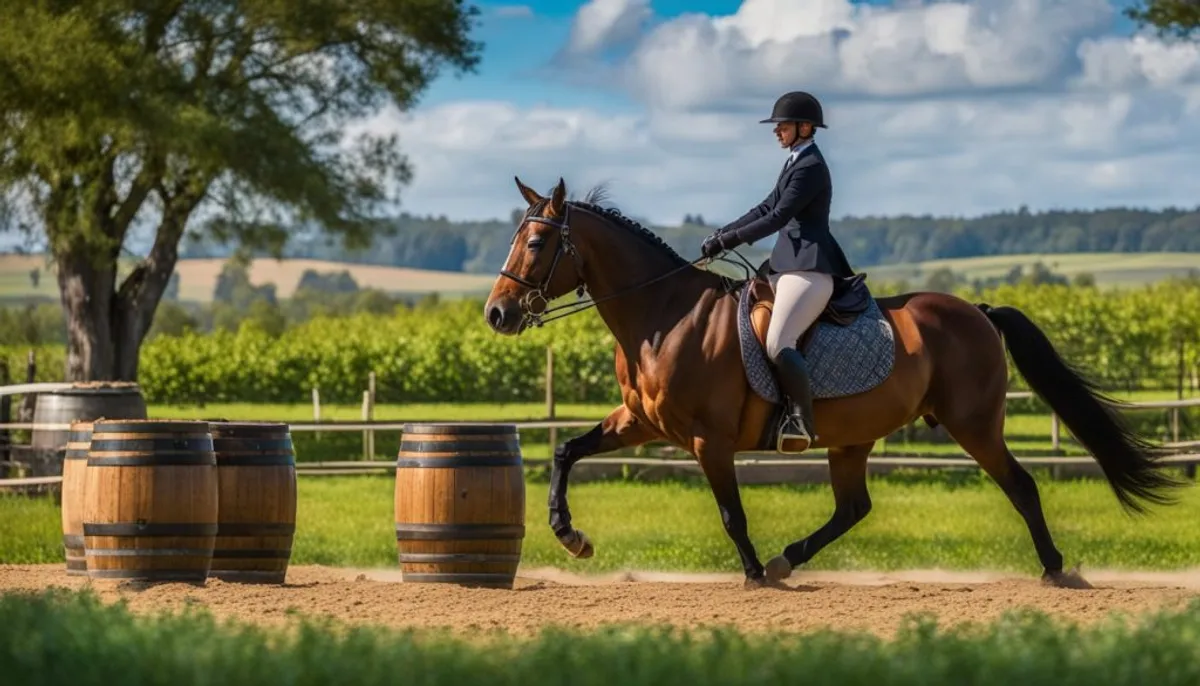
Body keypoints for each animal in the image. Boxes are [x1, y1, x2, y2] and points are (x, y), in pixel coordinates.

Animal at [482, 175, 1185, 590]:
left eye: (538, 242)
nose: (496, 313)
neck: (666, 314)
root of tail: (978, 312)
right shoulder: (642, 422)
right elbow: (567, 452)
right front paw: (570, 536)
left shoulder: (709, 440)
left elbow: (731, 512)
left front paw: (750, 575)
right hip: (854, 437)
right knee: (854, 507)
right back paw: (788, 557)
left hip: (974, 424)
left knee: (1021, 484)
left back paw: (1055, 569)